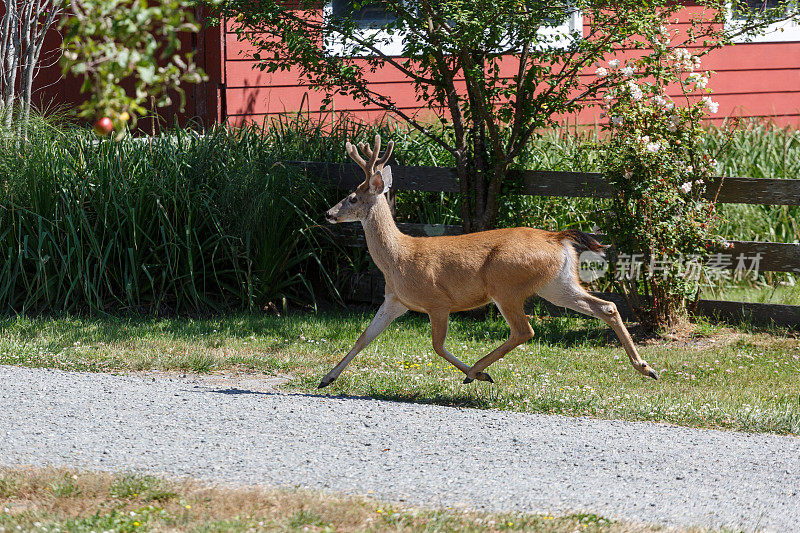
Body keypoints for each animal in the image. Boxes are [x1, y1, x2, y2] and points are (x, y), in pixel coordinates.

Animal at [318, 135, 656, 386]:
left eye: (352, 197)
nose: (329, 213)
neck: (398, 257)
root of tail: (556, 237)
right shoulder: (395, 300)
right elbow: (364, 336)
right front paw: (327, 378)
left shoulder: (437, 300)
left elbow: (437, 346)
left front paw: (477, 374)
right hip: (557, 284)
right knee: (606, 307)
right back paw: (645, 367)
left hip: (506, 284)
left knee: (525, 331)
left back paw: (476, 371)